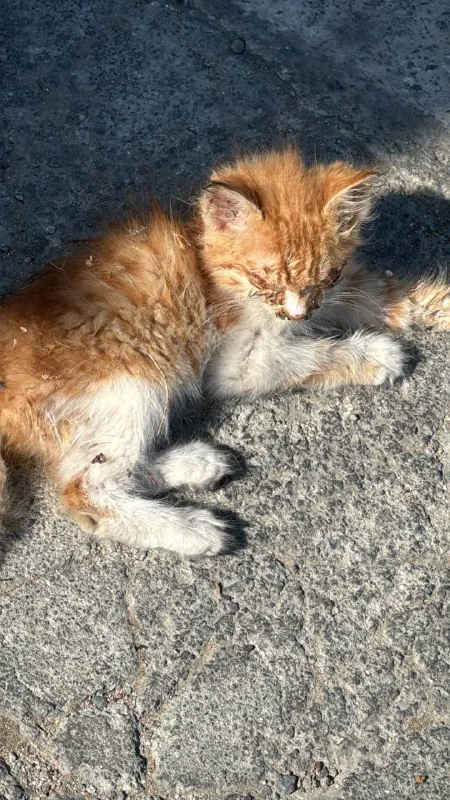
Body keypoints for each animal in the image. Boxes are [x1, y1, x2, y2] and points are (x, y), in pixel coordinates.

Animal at [0, 148, 448, 556]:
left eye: (327, 277)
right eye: (264, 279)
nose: (299, 313)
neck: (206, 264)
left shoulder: (336, 295)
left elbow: (380, 293)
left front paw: (434, 305)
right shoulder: (239, 363)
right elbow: (312, 356)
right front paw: (377, 354)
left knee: (112, 467)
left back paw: (197, 463)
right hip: (131, 382)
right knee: (87, 490)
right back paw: (193, 528)